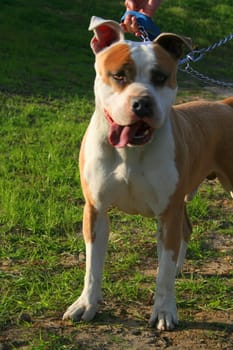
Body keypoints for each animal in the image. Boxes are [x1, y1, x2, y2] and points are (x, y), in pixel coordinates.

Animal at [62, 15, 233, 330]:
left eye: (161, 77)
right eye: (119, 75)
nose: (142, 102)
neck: (131, 150)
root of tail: (223, 105)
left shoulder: (167, 213)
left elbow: (162, 273)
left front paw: (165, 310)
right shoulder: (95, 209)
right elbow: (93, 266)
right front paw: (86, 304)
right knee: (185, 230)